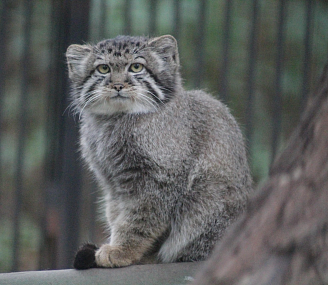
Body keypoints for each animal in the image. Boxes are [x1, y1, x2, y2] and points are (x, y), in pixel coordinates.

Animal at [66, 34, 251, 268]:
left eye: (136, 67)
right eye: (103, 69)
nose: (117, 85)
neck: (114, 121)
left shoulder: (159, 180)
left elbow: (139, 220)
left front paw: (121, 250)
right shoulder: (114, 184)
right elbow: (118, 215)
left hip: (206, 198)